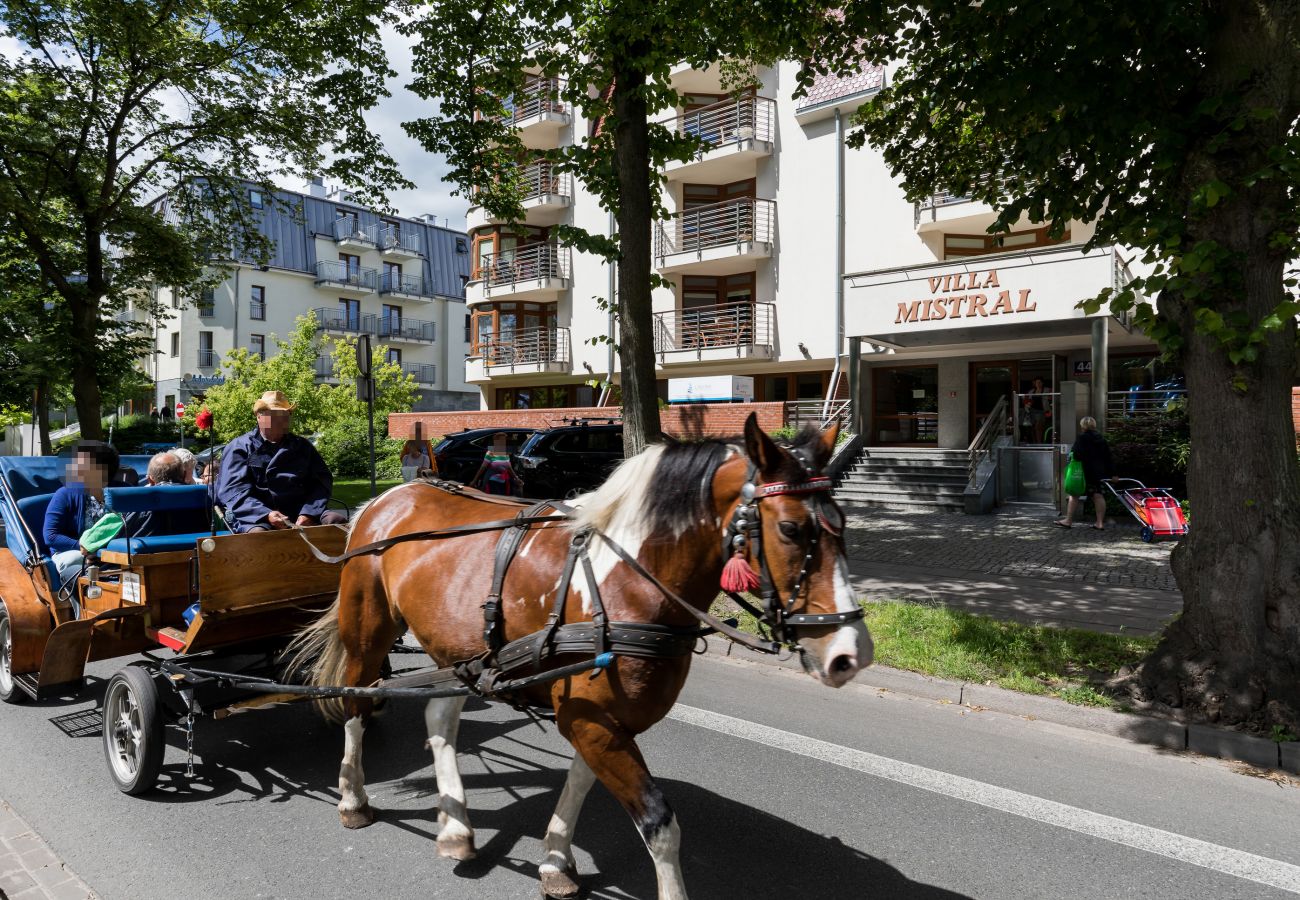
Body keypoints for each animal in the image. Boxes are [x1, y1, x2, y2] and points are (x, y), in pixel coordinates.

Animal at [289, 416, 868, 900]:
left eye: (842, 522)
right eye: (791, 529)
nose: (851, 652)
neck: (627, 579)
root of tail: (388, 497)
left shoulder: (603, 721)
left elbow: (580, 783)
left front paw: (554, 861)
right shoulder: (592, 721)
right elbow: (660, 823)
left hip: (461, 652)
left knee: (439, 716)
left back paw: (455, 825)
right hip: (368, 632)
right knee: (356, 704)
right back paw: (353, 798)